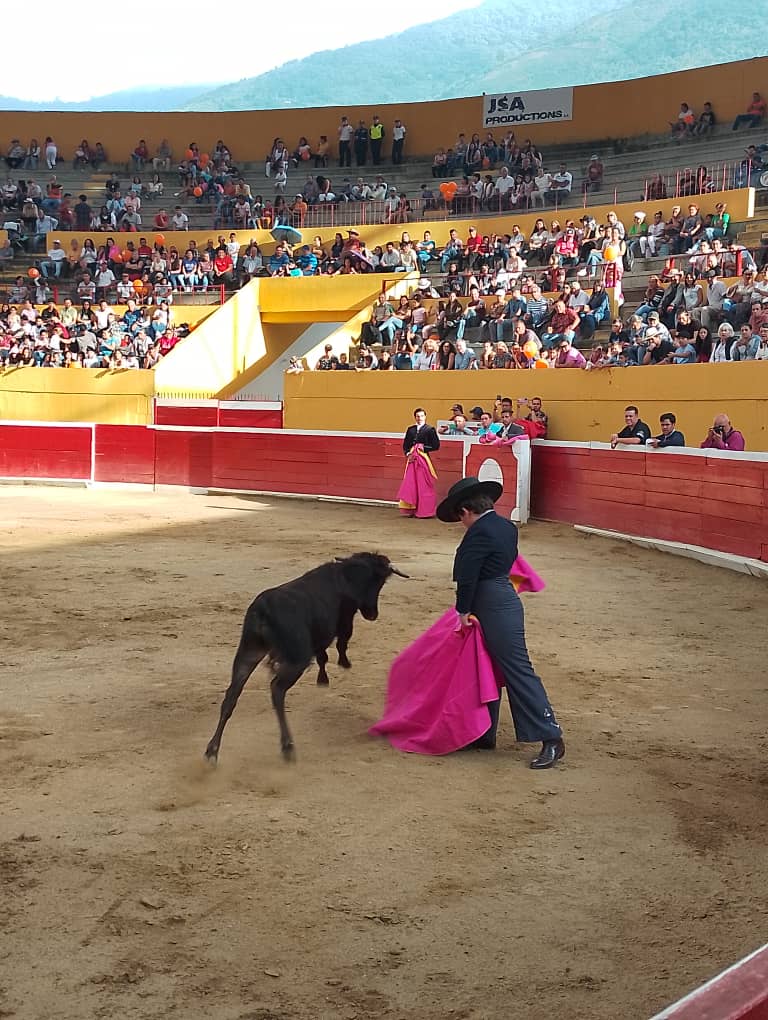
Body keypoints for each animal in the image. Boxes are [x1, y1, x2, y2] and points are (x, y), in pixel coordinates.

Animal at [203, 554, 407, 762]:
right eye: (379, 583)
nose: (373, 614)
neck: (347, 575)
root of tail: (263, 609)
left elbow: (322, 655)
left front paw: (323, 678)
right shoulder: (345, 621)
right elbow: (341, 644)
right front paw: (343, 664)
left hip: (249, 651)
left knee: (232, 694)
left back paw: (212, 751)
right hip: (296, 660)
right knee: (277, 689)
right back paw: (287, 746)